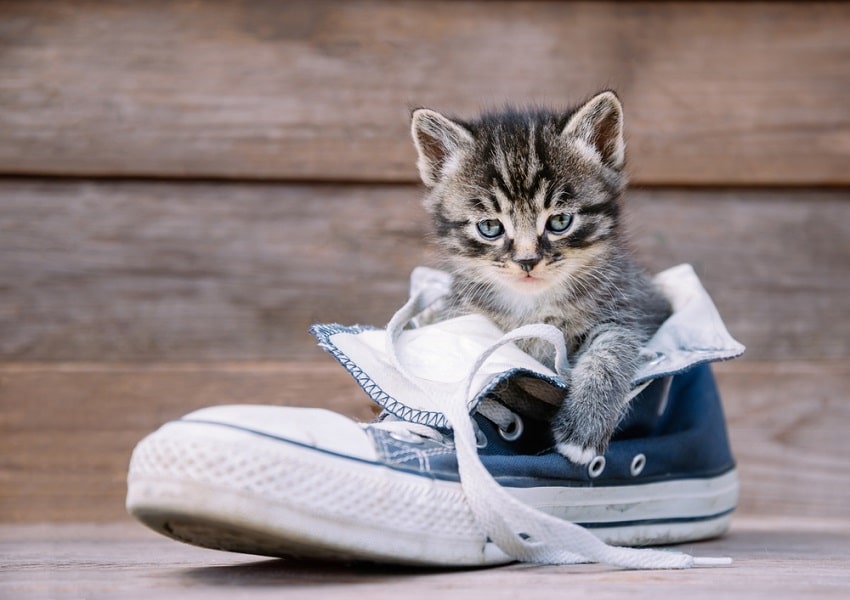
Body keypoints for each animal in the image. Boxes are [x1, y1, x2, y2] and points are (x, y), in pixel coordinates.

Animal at [408, 91, 672, 464]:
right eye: (490, 227)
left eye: (560, 221)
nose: (527, 260)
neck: (533, 306)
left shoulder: (629, 306)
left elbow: (610, 351)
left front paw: (583, 427)